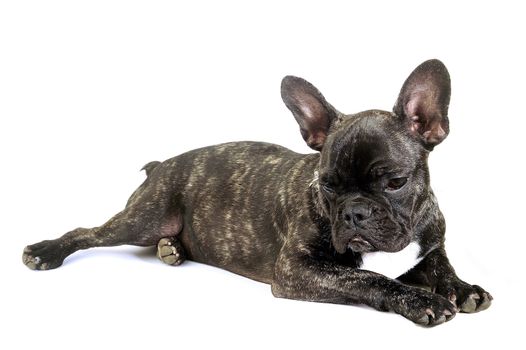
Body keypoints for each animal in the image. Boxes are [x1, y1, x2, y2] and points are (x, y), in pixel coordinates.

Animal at [22, 59, 492, 326]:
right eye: (326, 185)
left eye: (394, 182)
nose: (354, 213)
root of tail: (164, 164)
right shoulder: (298, 270)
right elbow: (368, 276)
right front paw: (418, 298)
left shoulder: (431, 241)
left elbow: (440, 264)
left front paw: (462, 287)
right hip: (146, 217)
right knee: (87, 232)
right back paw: (46, 251)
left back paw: (172, 250)